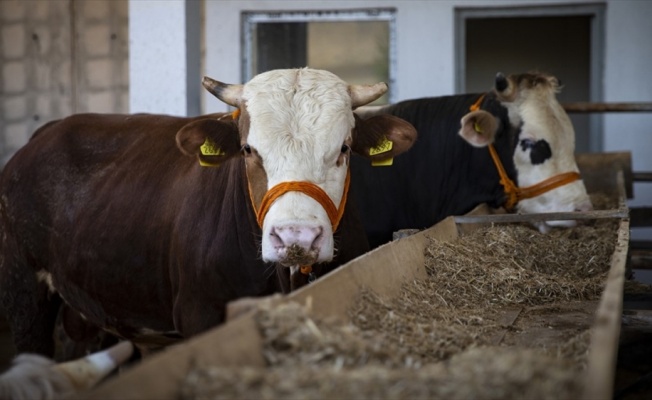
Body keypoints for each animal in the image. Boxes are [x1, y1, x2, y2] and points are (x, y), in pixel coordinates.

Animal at [0, 68, 416, 356]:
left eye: (344, 148)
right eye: (248, 149)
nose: (296, 237)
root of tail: (47, 132)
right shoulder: (199, 313)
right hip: (24, 296)